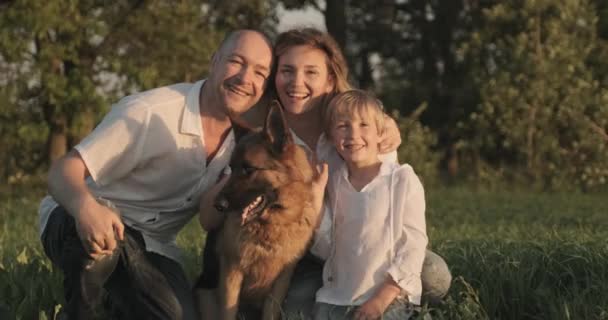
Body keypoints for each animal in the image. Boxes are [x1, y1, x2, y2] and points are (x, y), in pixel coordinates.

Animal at [198, 102, 324, 320]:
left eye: (249, 169)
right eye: (231, 168)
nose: (218, 205)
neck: (272, 225)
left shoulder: (281, 281)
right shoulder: (232, 273)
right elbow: (228, 312)